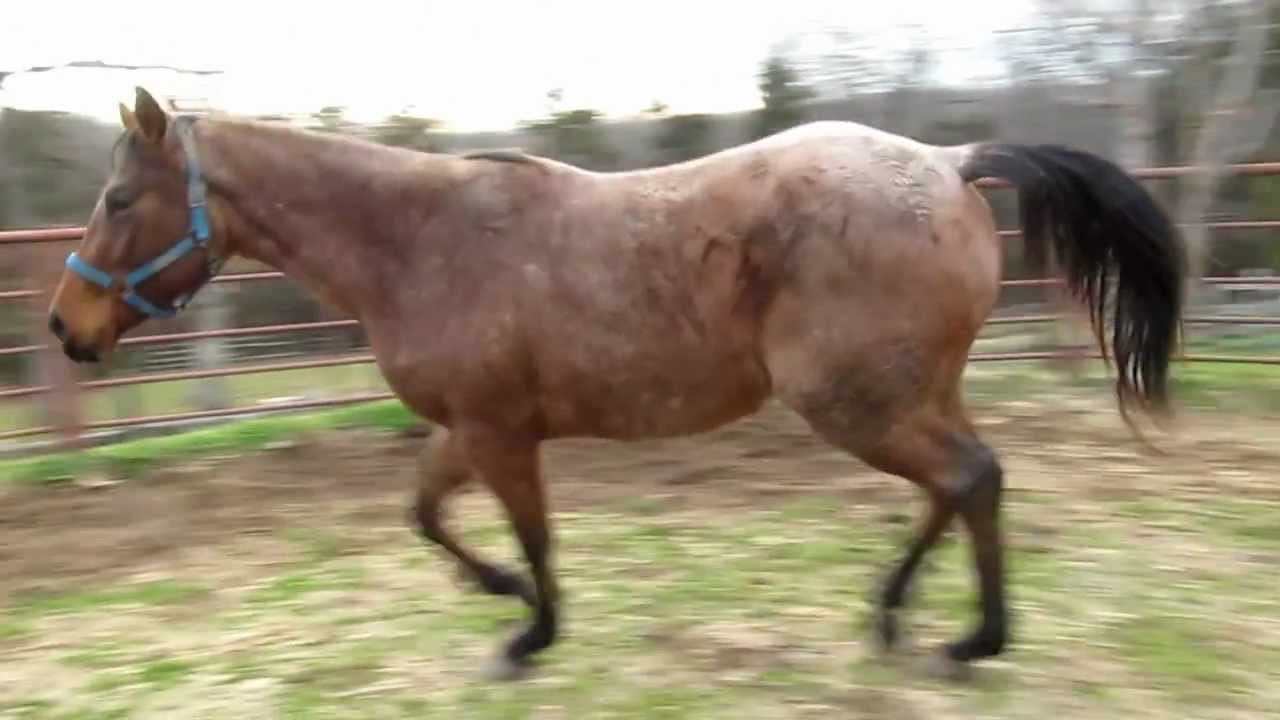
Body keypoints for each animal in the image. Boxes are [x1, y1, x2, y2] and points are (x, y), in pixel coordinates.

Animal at [48, 87, 1186, 681]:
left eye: (118, 199)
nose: (66, 328)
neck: (417, 243)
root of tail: (950, 164)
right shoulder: (470, 427)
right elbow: (426, 514)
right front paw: (505, 602)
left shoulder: (501, 432)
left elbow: (533, 534)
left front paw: (529, 633)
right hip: (907, 396)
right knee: (958, 485)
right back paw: (898, 615)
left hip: (858, 403)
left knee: (970, 480)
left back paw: (971, 639)